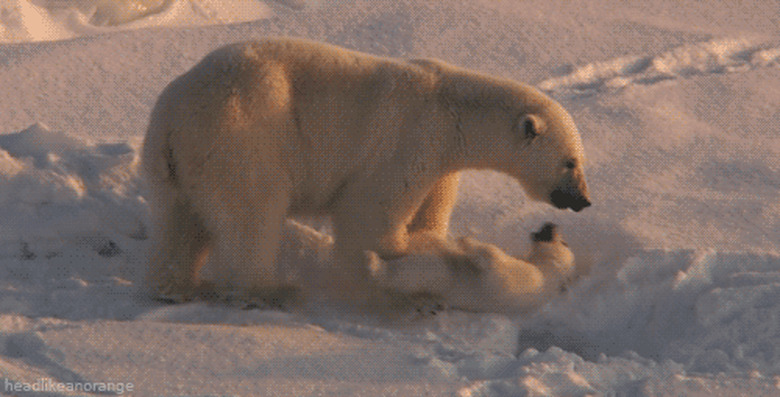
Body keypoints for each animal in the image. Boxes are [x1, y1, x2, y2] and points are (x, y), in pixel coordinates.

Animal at [142, 38, 592, 304]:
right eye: (570, 162)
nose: (584, 201)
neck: (453, 110)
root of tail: (172, 120)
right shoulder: (407, 141)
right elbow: (369, 214)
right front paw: (399, 258)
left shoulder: (439, 159)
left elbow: (434, 202)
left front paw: (428, 239)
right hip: (244, 140)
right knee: (253, 215)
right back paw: (274, 289)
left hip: (176, 166)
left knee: (180, 222)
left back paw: (176, 285)